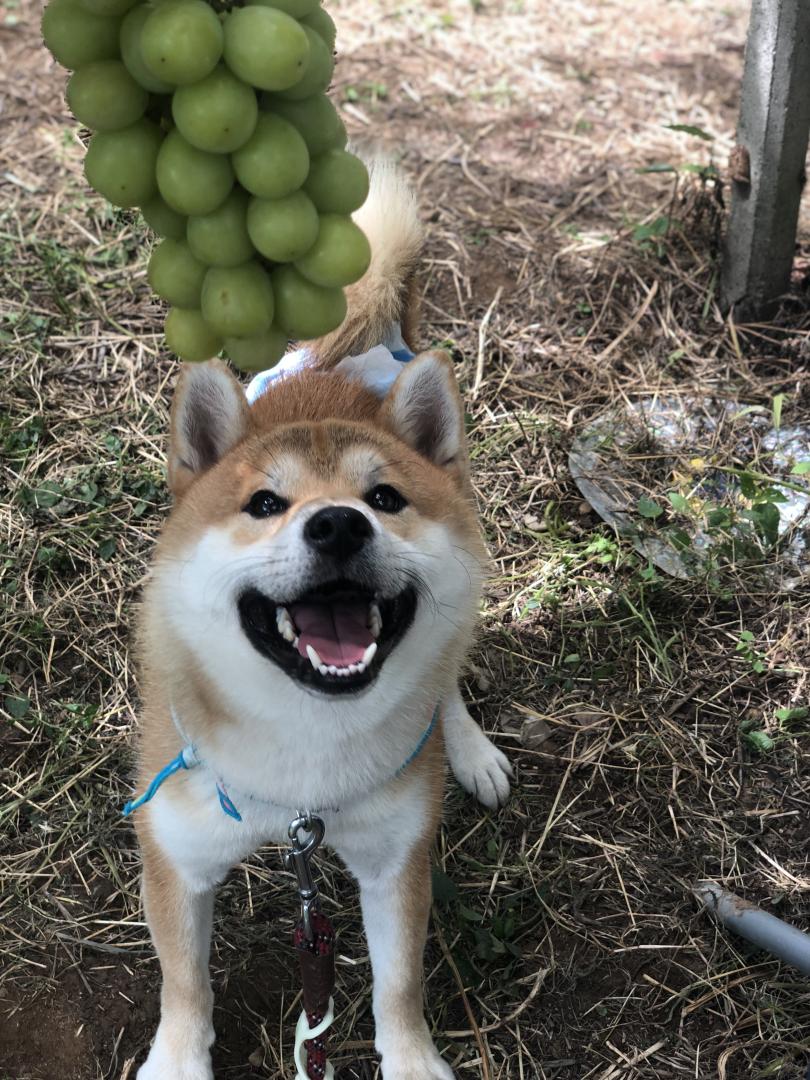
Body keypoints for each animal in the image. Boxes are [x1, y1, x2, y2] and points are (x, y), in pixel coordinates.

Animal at [133, 159, 514, 1080]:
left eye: (385, 498)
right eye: (266, 504)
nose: (338, 524)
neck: (304, 771)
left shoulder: (394, 858)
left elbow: (398, 985)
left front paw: (413, 1063)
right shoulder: (178, 849)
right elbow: (184, 985)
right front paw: (178, 1061)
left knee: (448, 679)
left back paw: (468, 747)